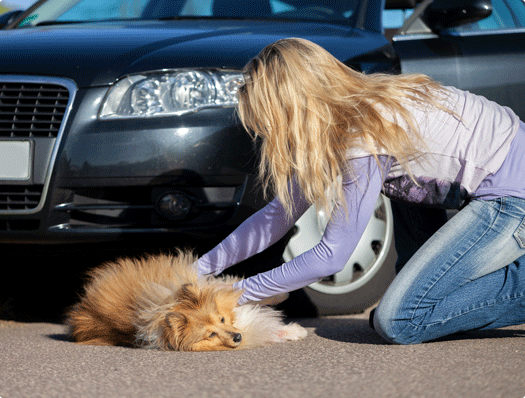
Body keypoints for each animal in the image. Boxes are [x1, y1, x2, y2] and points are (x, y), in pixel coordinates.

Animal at [64, 252, 308, 352]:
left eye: (221, 319)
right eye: (211, 334)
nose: (238, 337)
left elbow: (234, 286)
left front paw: (282, 296)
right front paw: (295, 331)